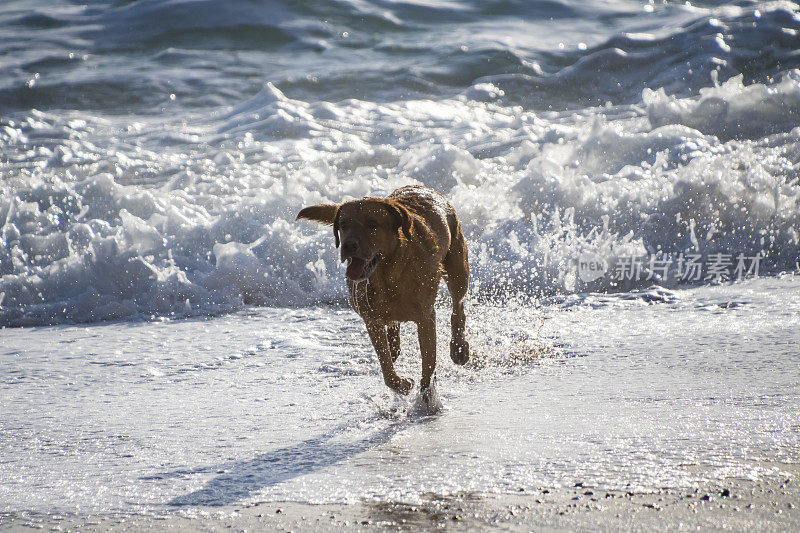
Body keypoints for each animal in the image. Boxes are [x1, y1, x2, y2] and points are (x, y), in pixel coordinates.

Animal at [296, 185, 468, 392]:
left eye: (372, 224)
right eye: (344, 225)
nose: (348, 245)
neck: (388, 275)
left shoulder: (426, 317)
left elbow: (428, 362)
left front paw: (427, 393)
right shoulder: (371, 319)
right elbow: (386, 366)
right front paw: (401, 383)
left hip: (458, 269)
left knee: (458, 307)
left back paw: (459, 347)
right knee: (393, 329)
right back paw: (394, 345)